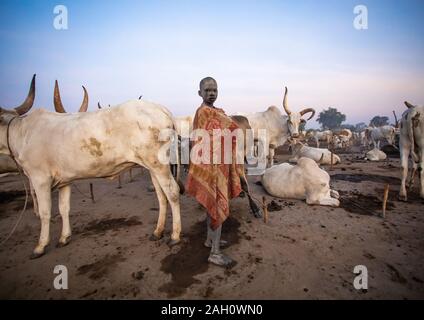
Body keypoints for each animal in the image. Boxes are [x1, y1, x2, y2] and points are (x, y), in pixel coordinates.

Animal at [0, 75, 182, 258]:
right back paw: (157, 232)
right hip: (152, 167)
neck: (22, 133)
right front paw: (64, 237)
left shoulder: (40, 179)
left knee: (172, 192)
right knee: (161, 196)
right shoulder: (65, 181)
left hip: (159, 165)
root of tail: (161, 108)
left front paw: (40, 246)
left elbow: (45, 213)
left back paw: (175, 235)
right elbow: (64, 208)